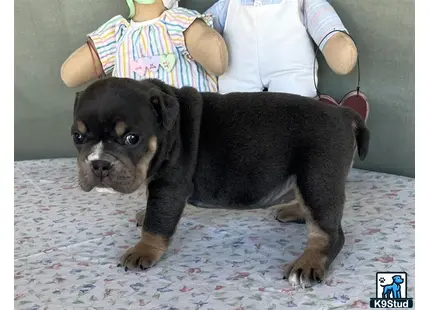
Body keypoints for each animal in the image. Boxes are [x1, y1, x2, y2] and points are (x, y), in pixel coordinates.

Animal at [71, 76, 370, 286]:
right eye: (77, 136)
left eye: (132, 138)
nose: (99, 163)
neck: (167, 128)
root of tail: (344, 114)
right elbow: (150, 205)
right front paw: (143, 213)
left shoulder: (169, 188)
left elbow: (156, 225)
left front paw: (143, 249)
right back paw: (295, 211)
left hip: (318, 180)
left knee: (329, 233)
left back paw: (308, 264)